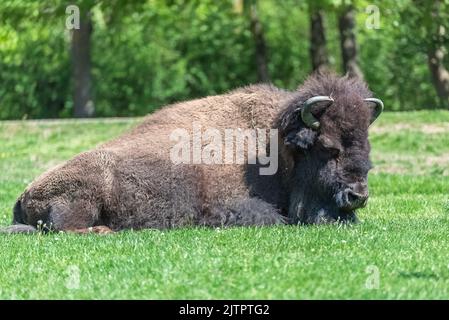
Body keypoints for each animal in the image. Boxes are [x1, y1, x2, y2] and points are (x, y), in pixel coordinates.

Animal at [1, 72, 384, 234]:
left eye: (367, 147)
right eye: (329, 148)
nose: (358, 196)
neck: (275, 145)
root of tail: (23, 195)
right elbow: (272, 217)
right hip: (84, 196)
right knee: (69, 230)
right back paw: (107, 231)